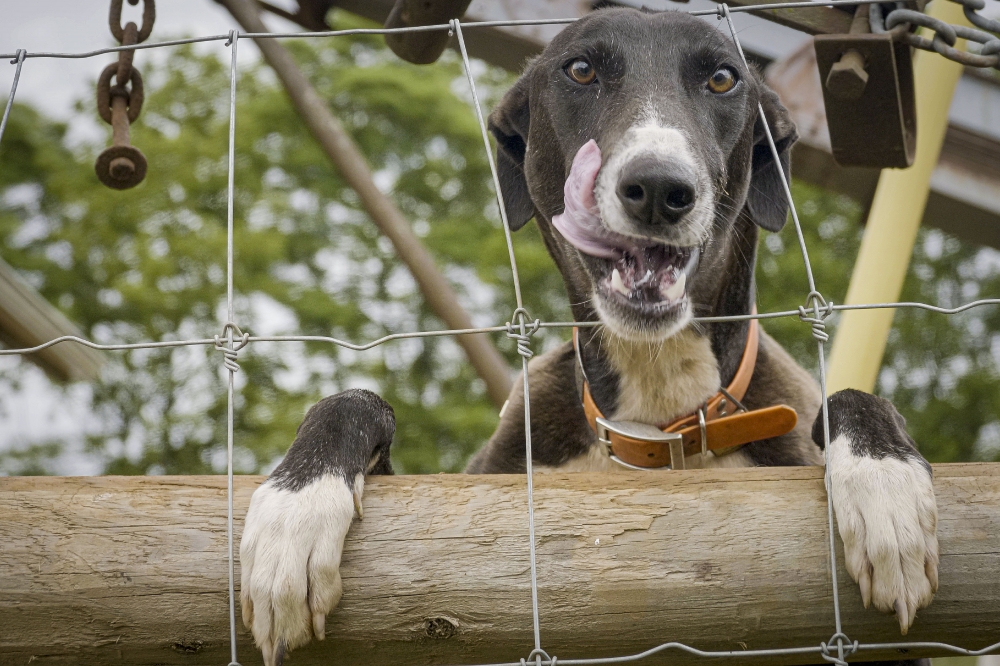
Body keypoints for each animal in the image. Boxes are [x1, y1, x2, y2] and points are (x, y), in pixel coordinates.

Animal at [238, 7, 940, 660]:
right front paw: (295, 510)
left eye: (722, 78)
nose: (658, 188)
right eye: (580, 70)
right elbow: (354, 401)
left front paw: (887, 489)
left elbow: (851, 398)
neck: (654, 417)